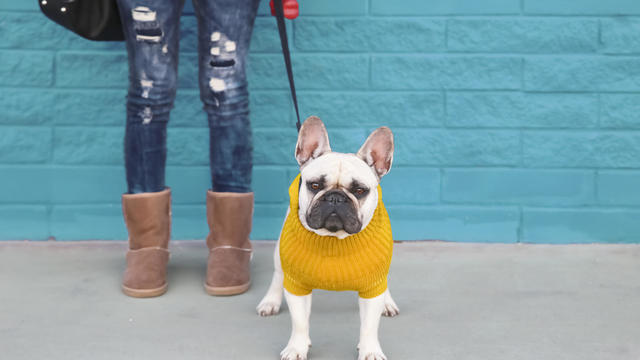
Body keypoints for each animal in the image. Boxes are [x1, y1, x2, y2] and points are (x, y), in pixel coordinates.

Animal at [256, 116, 398, 360]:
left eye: (359, 190)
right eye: (314, 185)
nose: (335, 198)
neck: (334, 239)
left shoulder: (372, 288)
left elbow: (369, 325)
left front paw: (370, 350)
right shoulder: (296, 286)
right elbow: (300, 322)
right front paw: (297, 347)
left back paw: (387, 302)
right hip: (279, 253)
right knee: (277, 274)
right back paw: (270, 301)